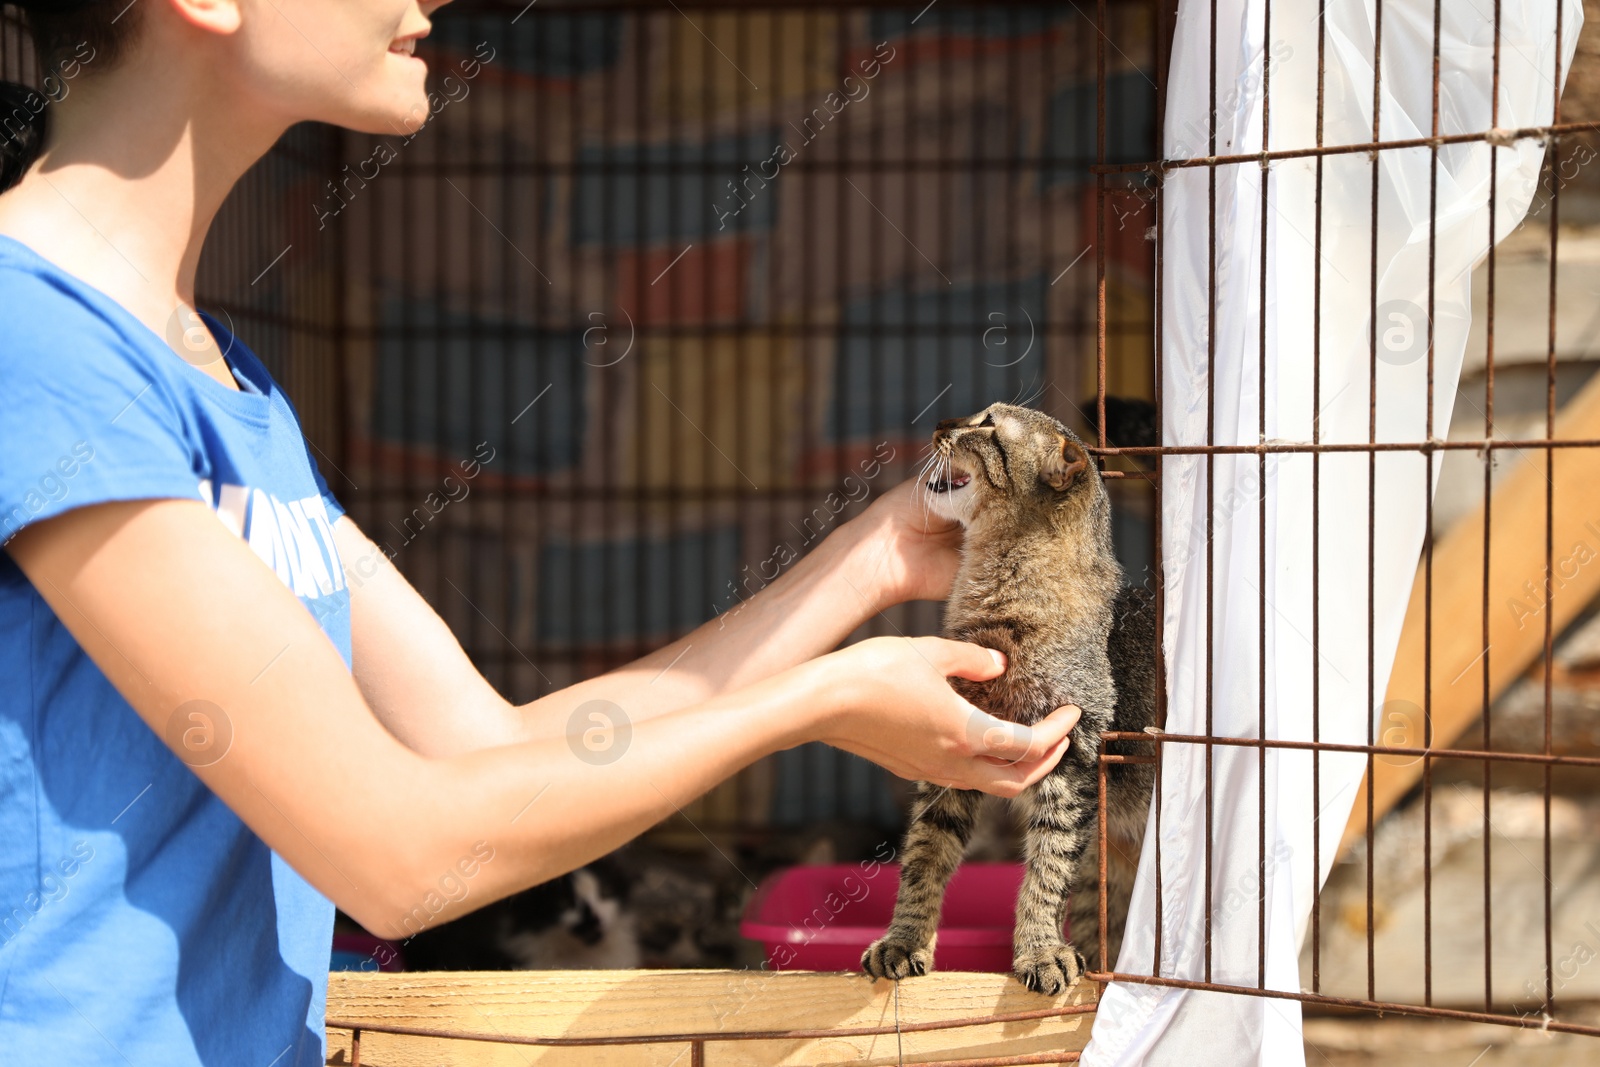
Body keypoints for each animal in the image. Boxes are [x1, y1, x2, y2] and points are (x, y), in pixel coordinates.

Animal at [857, 403, 1158, 991]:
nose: (940, 425)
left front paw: (1039, 949)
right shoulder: (950, 756)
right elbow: (925, 853)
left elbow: (1048, 868)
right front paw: (906, 938)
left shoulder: (1071, 761)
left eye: (989, 425)